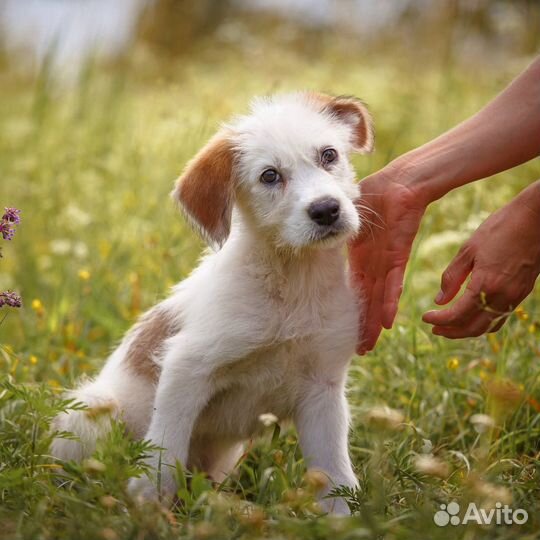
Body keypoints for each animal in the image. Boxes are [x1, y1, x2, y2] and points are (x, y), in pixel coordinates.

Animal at [50, 94, 374, 516]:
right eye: (270, 176)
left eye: (329, 155)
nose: (326, 210)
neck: (293, 285)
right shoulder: (187, 368)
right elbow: (164, 451)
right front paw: (148, 506)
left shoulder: (323, 390)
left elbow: (334, 472)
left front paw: (342, 520)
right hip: (92, 412)